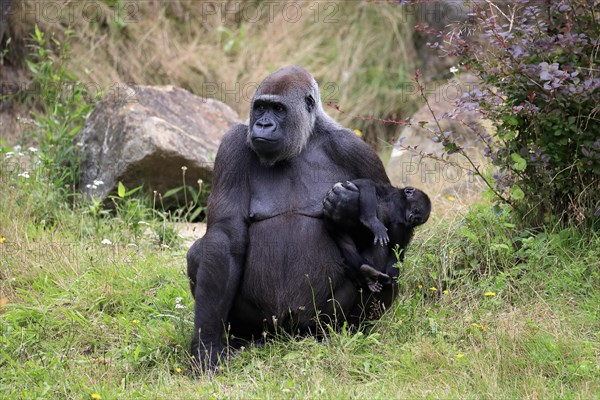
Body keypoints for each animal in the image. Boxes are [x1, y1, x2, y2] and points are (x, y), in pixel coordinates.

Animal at [188, 66, 394, 372]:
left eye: (278, 109)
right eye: (260, 107)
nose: (263, 125)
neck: (304, 140)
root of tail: (289, 335)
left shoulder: (355, 148)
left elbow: (396, 215)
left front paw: (346, 207)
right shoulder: (232, 145)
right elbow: (225, 236)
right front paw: (207, 344)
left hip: (319, 323)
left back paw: (354, 332)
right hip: (264, 327)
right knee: (200, 253)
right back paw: (239, 340)